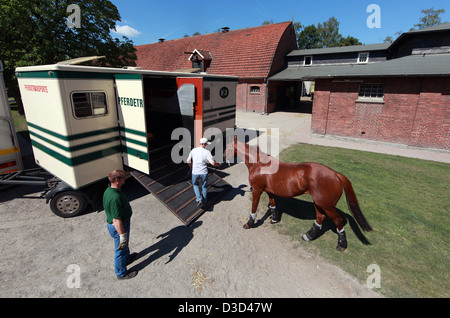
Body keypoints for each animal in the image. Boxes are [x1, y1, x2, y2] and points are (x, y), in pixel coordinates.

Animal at [225, 137, 372, 251]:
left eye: (227, 147)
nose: (222, 160)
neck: (260, 165)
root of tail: (335, 174)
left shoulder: (257, 190)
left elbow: (254, 208)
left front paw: (249, 223)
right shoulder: (270, 191)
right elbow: (272, 205)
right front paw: (274, 219)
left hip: (327, 205)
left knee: (338, 220)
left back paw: (341, 245)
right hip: (319, 203)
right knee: (320, 218)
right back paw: (309, 236)